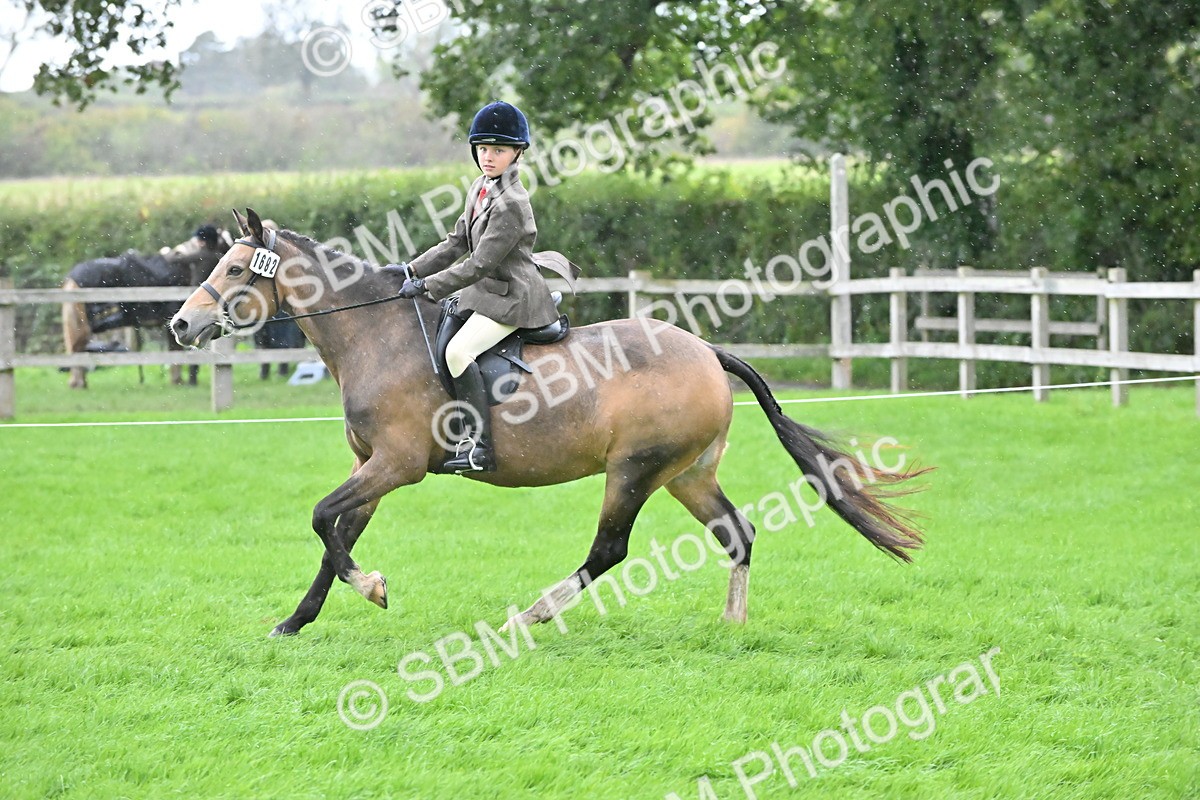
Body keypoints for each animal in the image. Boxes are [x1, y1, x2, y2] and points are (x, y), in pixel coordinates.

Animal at [170, 209, 931, 638]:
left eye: (235, 268)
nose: (181, 324)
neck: (375, 335)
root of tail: (707, 352)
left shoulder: (397, 465)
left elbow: (322, 519)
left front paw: (374, 588)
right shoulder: (371, 467)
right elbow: (336, 536)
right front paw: (296, 621)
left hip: (635, 469)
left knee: (610, 551)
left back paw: (531, 616)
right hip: (687, 474)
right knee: (736, 534)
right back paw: (733, 626)